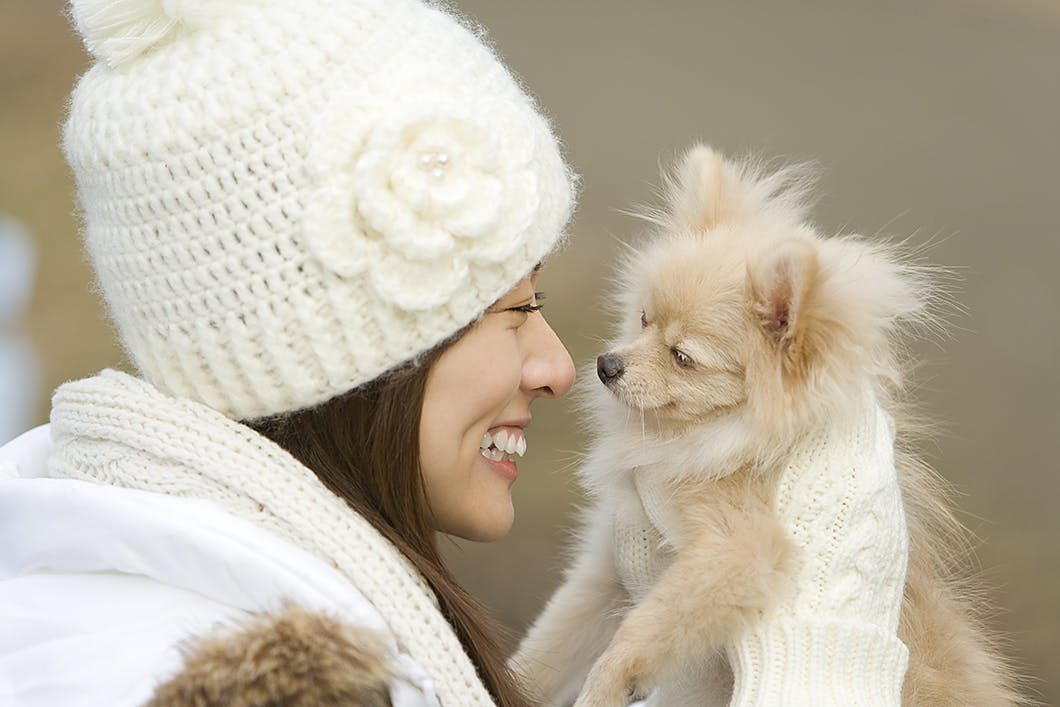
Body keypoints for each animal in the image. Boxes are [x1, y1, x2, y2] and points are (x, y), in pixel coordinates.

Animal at [508, 145, 1021, 707]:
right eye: (643, 320)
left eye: (683, 357)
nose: (607, 364)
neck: (697, 433)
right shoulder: (606, 568)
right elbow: (550, 645)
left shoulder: (739, 550)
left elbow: (648, 627)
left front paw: (605, 683)